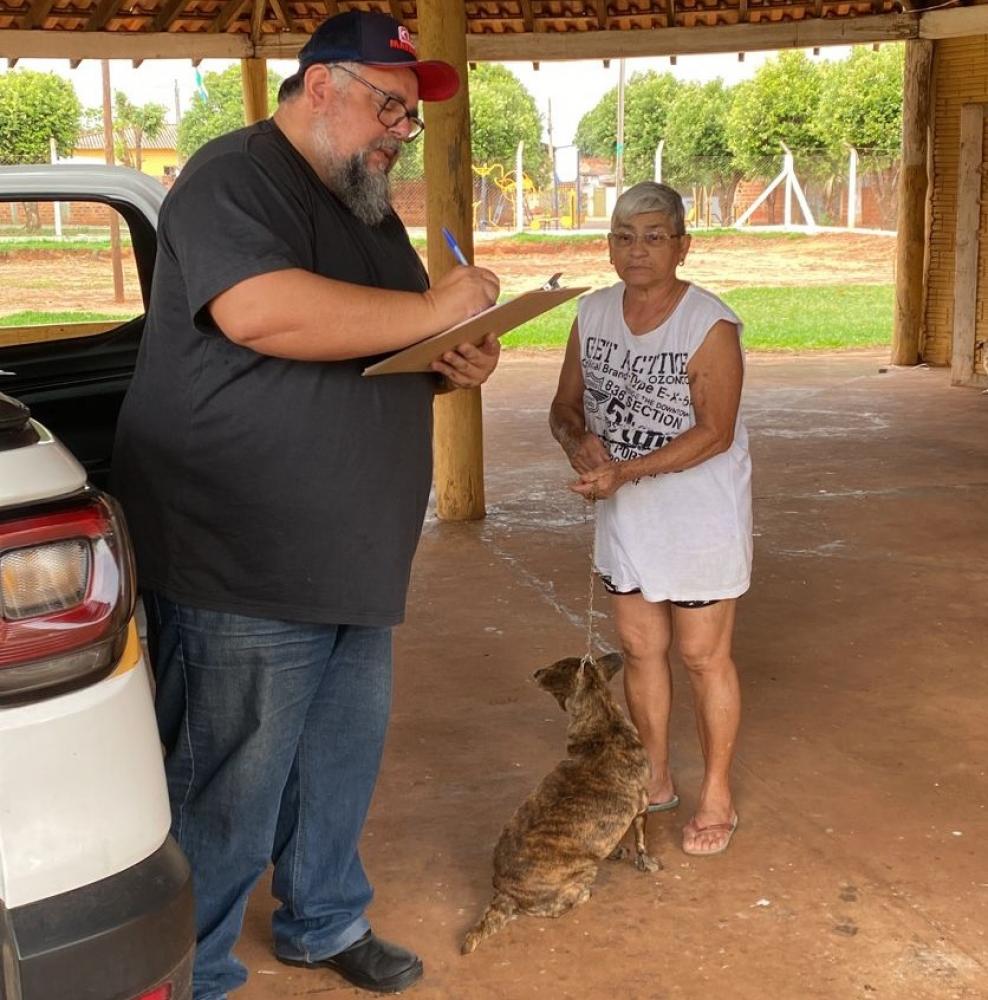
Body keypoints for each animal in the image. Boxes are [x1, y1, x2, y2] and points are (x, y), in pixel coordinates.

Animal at [462, 652, 660, 956]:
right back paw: (582, 895)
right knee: (558, 908)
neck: (603, 727)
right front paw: (645, 862)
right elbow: (641, 841)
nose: (536, 671)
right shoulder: (642, 806)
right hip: (587, 869)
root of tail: (506, 894)